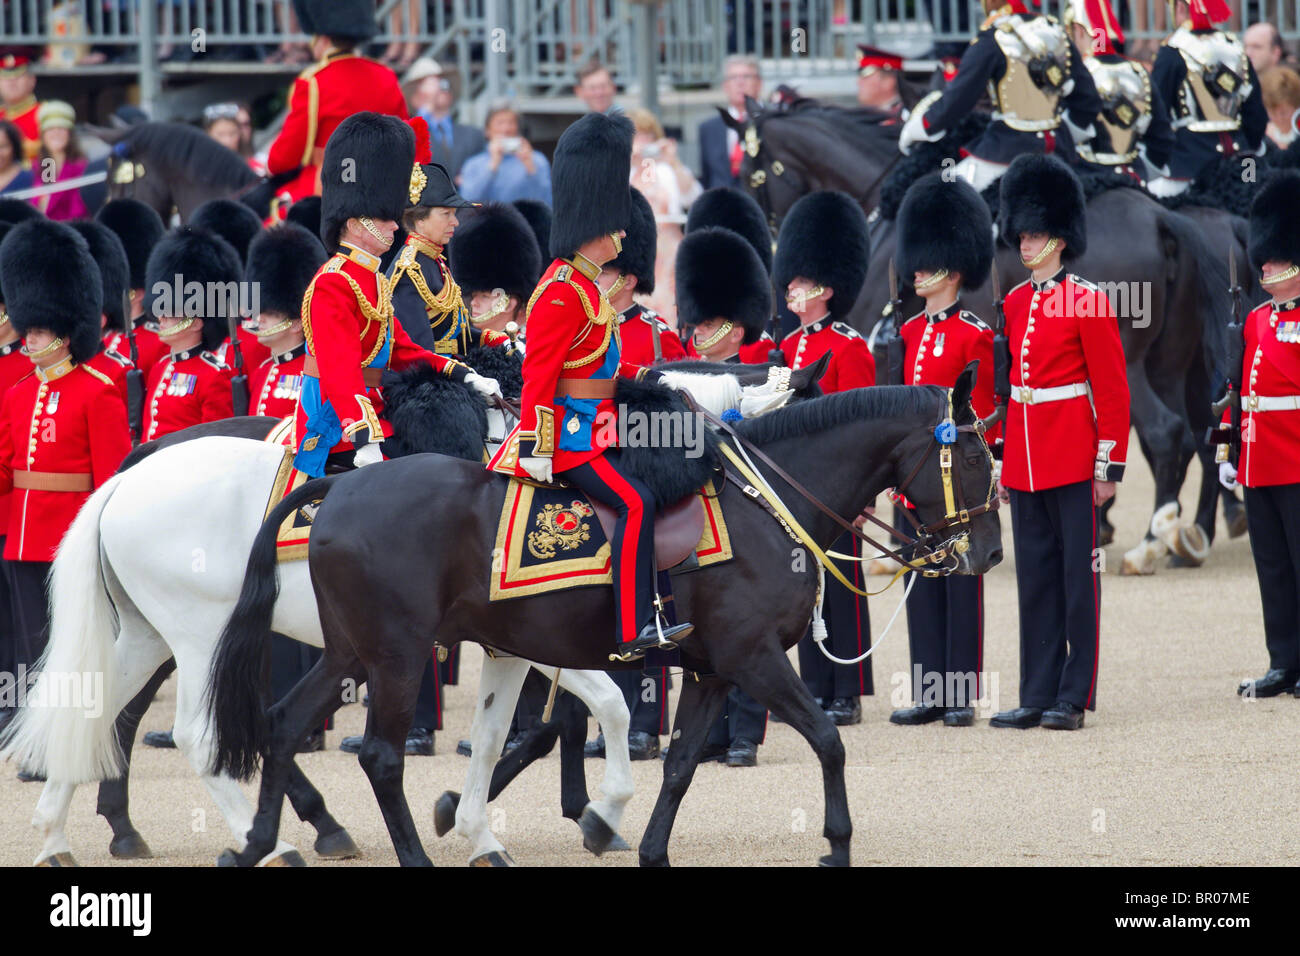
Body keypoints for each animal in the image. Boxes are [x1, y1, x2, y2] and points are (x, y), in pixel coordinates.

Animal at [208, 369, 998, 868]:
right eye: (976, 458)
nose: (988, 551)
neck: (767, 505)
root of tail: (340, 487)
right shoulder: (754, 658)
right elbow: (828, 742)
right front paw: (836, 843)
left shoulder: (713, 670)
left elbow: (678, 765)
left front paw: (644, 846)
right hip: (398, 657)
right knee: (378, 755)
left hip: (354, 652)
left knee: (281, 724)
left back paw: (262, 843)